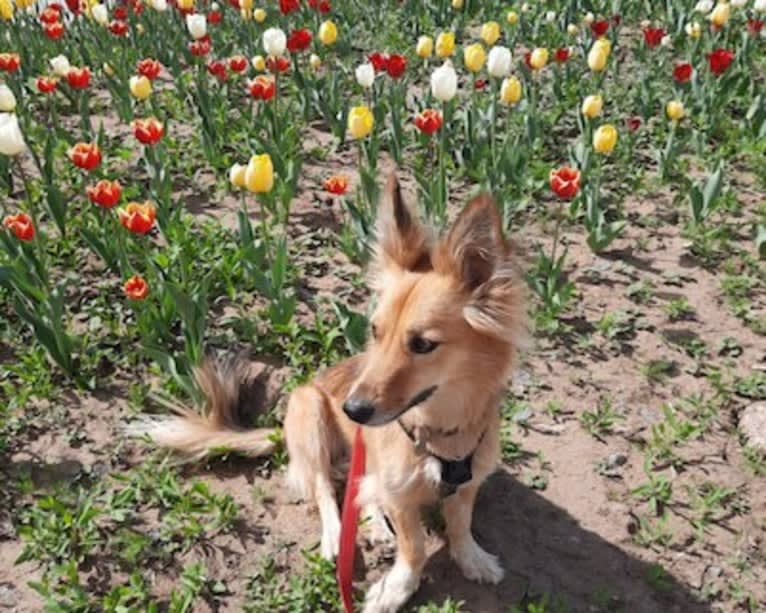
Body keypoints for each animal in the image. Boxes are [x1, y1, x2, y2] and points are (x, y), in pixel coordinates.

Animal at [130, 175, 528, 608]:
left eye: (423, 344)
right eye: (375, 331)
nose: (352, 410)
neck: (441, 433)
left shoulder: (468, 482)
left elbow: (460, 524)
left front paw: (471, 557)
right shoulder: (400, 494)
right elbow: (415, 547)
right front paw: (397, 589)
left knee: (357, 487)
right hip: (308, 412)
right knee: (324, 488)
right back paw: (338, 537)